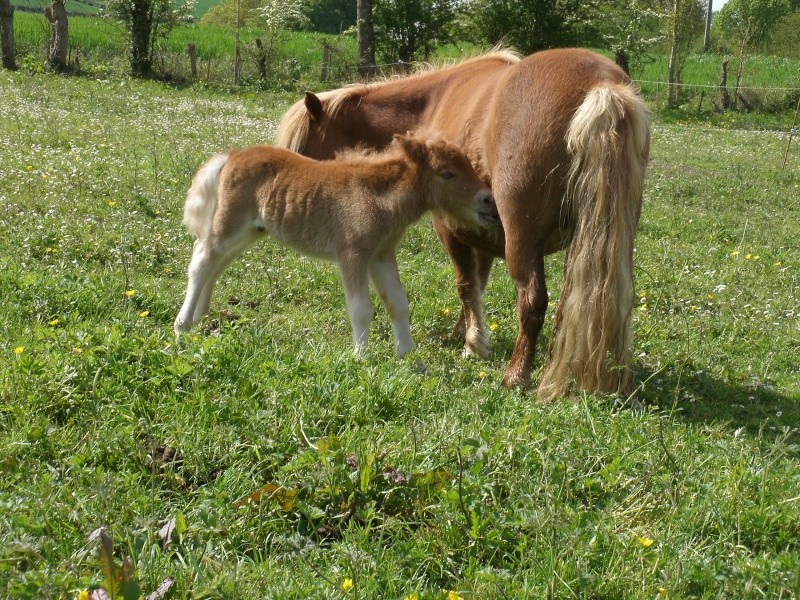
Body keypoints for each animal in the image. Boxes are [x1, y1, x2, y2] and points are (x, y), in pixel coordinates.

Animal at [175, 132, 496, 356]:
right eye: (447, 173)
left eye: (469, 164)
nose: (488, 200)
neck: (376, 195)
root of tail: (233, 154)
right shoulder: (352, 253)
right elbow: (361, 308)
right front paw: (361, 358)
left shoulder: (381, 254)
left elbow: (398, 304)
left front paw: (411, 358)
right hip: (229, 224)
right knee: (202, 261)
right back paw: (182, 326)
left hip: (252, 230)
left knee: (217, 264)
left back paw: (200, 317)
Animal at [276, 50, 648, 398]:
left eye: (302, 149)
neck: (430, 102)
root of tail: (600, 85)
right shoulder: (484, 229)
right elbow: (478, 285)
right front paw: (468, 333)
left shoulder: (451, 227)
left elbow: (466, 285)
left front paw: (472, 345)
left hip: (522, 241)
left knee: (533, 300)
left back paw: (516, 375)